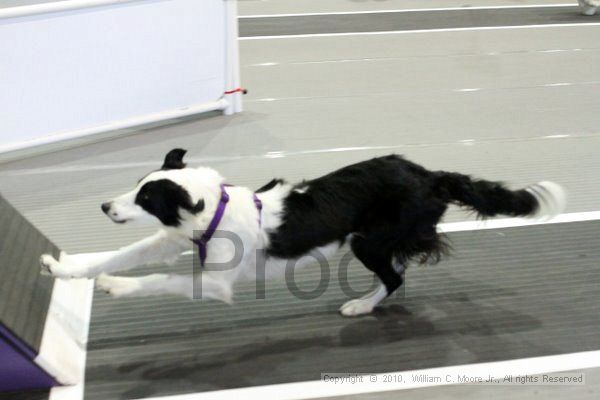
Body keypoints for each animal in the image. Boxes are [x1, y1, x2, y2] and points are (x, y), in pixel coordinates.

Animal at [39, 150, 564, 316]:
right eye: (136, 186)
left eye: (147, 198)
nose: (106, 206)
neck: (214, 213)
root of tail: (431, 174)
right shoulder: (173, 240)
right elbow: (118, 255)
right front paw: (63, 268)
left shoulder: (217, 282)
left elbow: (156, 280)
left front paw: (114, 287)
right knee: (399, 271)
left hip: (367, 240)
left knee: (396, 276)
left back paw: (360, 305)